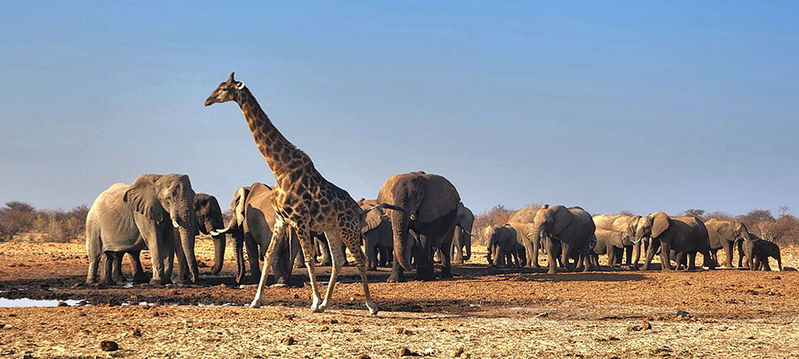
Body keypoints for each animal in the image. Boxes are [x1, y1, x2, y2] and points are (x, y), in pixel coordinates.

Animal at [206, 72, 382, 316]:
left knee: (360, 258)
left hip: (348, 227)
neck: (280, 169)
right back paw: (328, 303)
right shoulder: (282, 219)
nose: (207, 100)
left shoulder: (299, 220)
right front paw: (255, 301)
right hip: (331, 228)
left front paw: (314, 302)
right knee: (338, 260)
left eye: (224, 88)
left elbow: (308, 259)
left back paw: (371, 305)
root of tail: (357, 209)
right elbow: (269, 255)